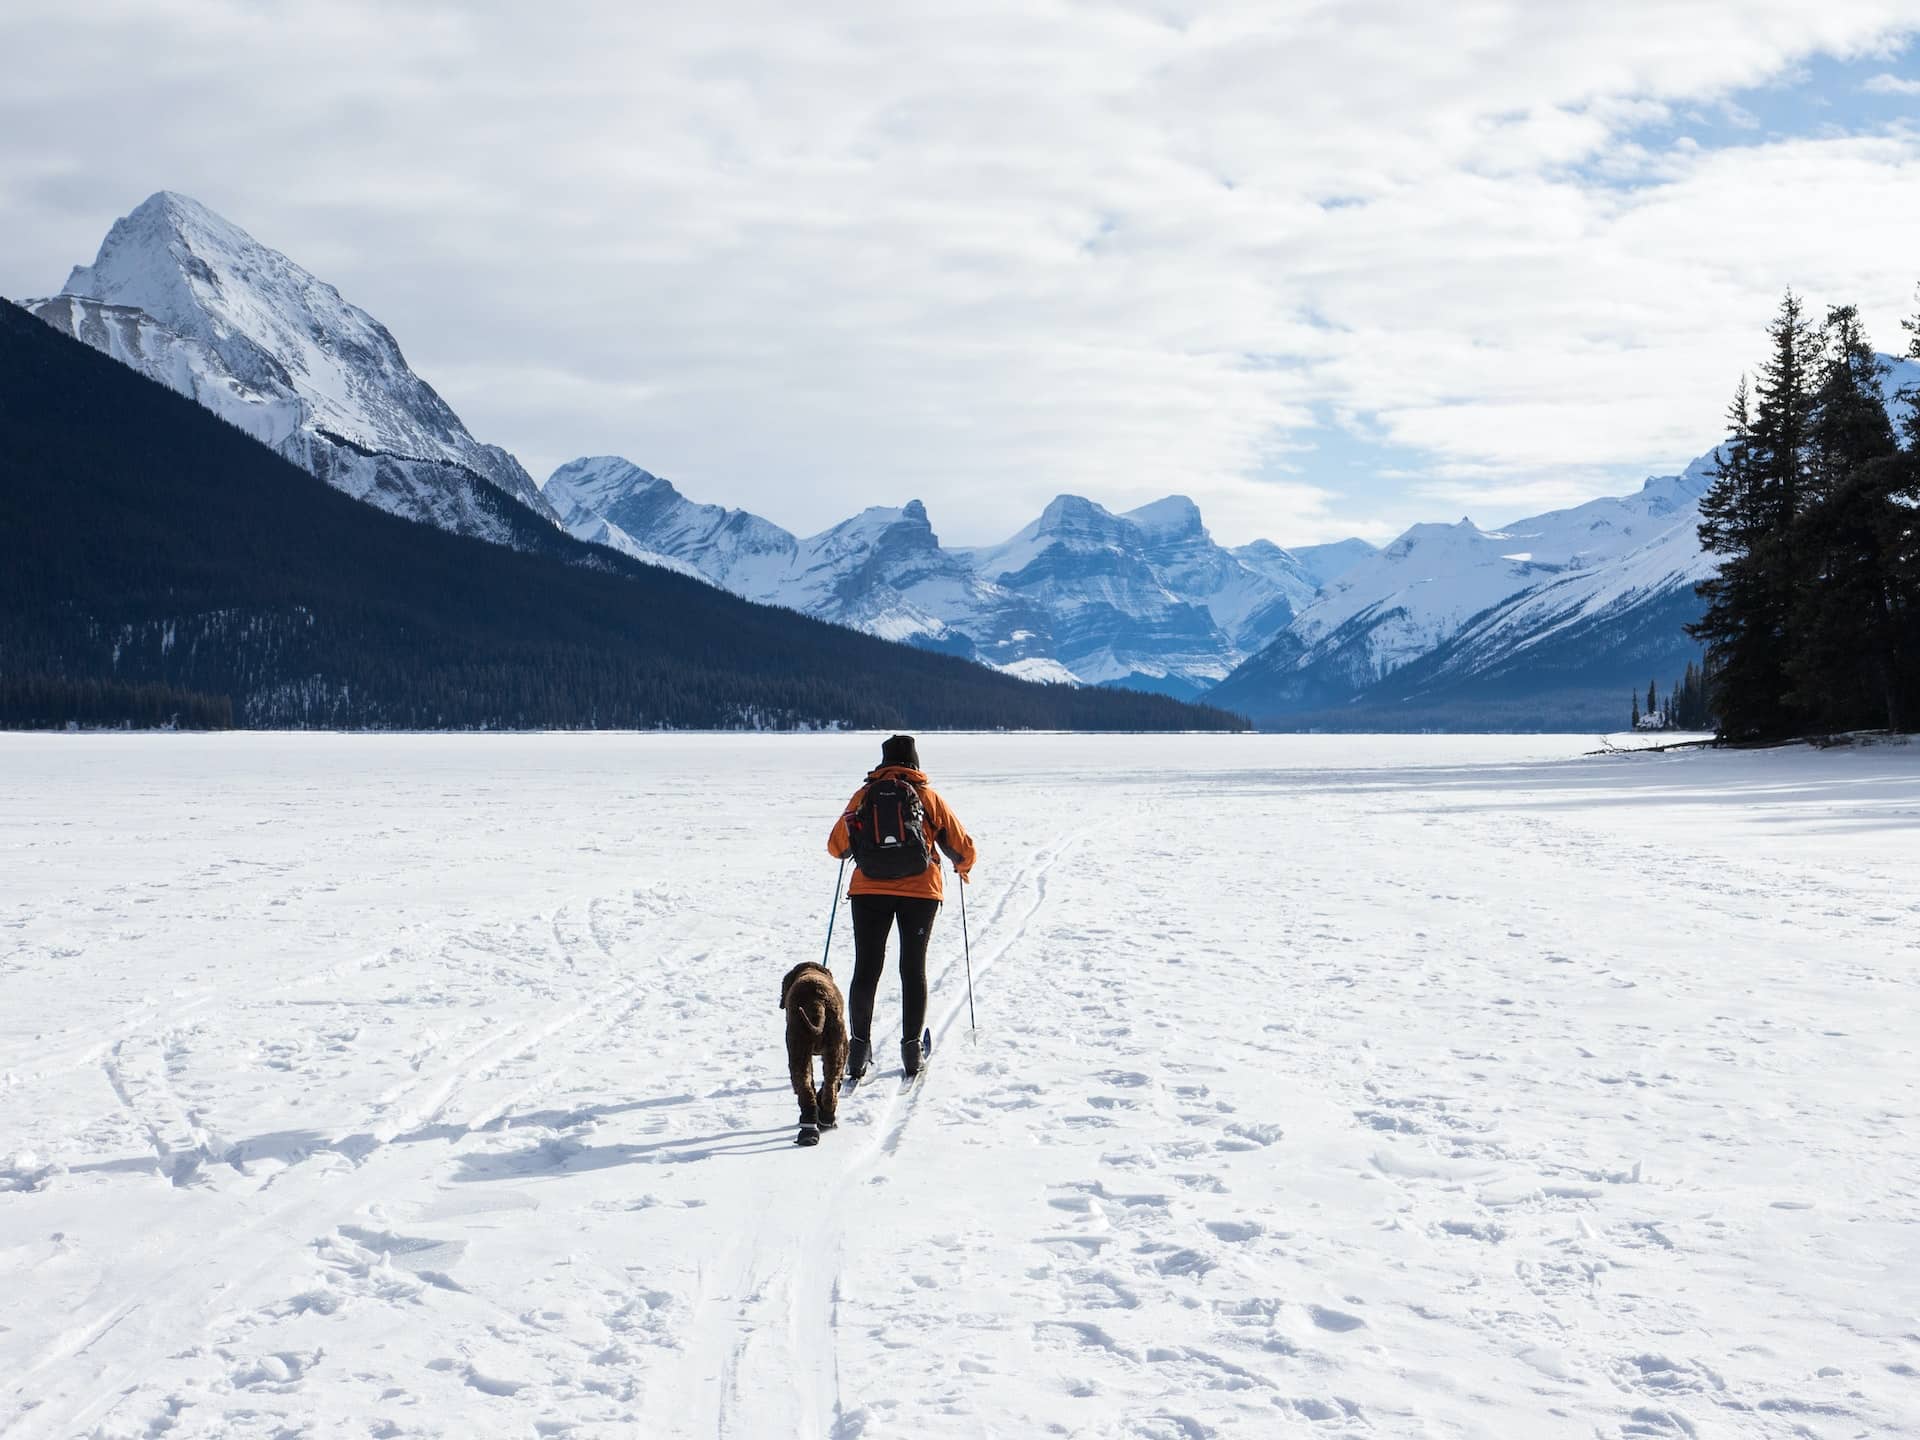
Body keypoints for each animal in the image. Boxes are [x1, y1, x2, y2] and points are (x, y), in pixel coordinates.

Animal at [779, 960, 848, 1152]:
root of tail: (817, 1002)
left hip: (800, 1049)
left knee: (811, 1087)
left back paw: (812, 1129)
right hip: (831, 1048)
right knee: (828, 1086)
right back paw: (823, 1121)